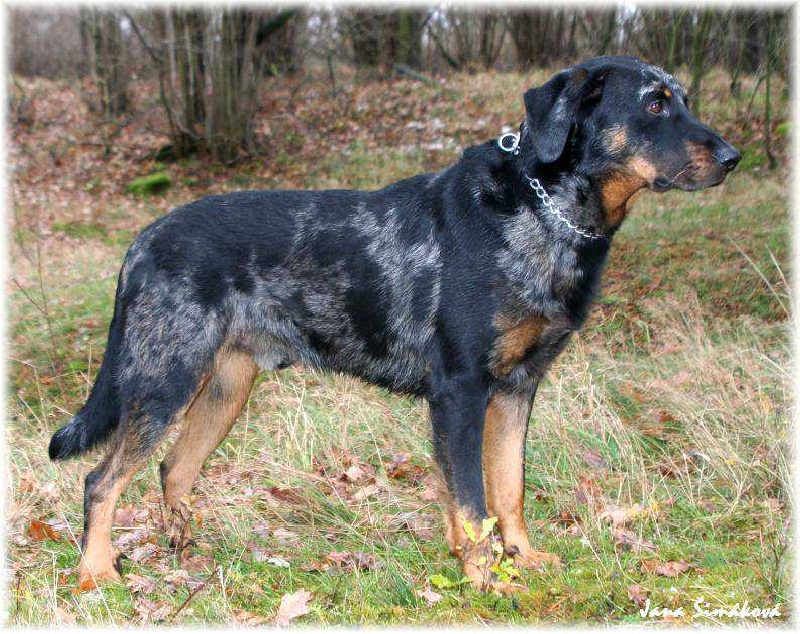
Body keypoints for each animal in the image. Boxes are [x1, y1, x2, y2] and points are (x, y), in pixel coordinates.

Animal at [50, 56, 740, 592]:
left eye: (684, 98)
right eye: (655, 103)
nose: (735, 157)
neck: (543, 212)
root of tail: (142, 239)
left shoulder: (517, 390)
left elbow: (508, 488)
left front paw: (520, 557)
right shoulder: (460, 390)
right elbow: (471, 501)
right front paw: (485, 579)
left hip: (226, 387)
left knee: (174, 469)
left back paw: (188, 556)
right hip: (166, 378)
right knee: (100, 480)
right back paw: (98, 572)